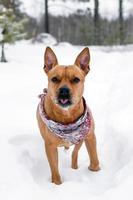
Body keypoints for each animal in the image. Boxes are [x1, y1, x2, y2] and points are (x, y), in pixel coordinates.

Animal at [36, 47, 100, 184]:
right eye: (54, 79)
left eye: (76, 79)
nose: (64, 91)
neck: (66, 115)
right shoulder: (50, 147)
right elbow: (55, 170)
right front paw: (57, 184)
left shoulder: (90, 137)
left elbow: (94, 159)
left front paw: (95, 172)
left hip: (80, 139)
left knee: (74, 153)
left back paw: (74, 167)